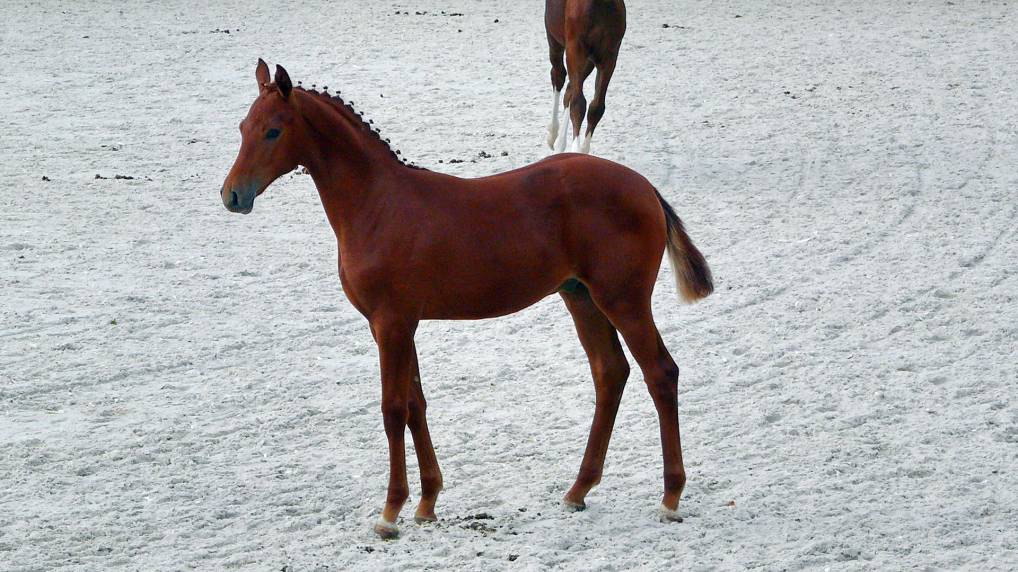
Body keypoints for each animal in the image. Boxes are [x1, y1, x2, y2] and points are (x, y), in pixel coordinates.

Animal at [220, 60, 716, 537]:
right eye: (242, 126)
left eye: (273, 130)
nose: (232, 195)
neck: (377, 205)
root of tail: (645, 187)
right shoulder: (399, 325)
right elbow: (416, 405)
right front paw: (426, 503)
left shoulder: (391, 323)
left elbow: (392, 409)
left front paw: (390, 512)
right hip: (581, 298)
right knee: (610, 373)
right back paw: (578, 490)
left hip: (624, 301)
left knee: (661, 373)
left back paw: (670, 498)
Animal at [545, 0, 623, 153]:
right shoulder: (575, 50)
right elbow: (578, 104)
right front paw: (576, 151)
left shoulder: (609, 58)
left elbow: (596, 108)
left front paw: (581, 152)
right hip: (558, 43)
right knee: (558, 76)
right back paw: (553, 136)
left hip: (587, 60)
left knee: (568, 88)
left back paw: (559, 144)